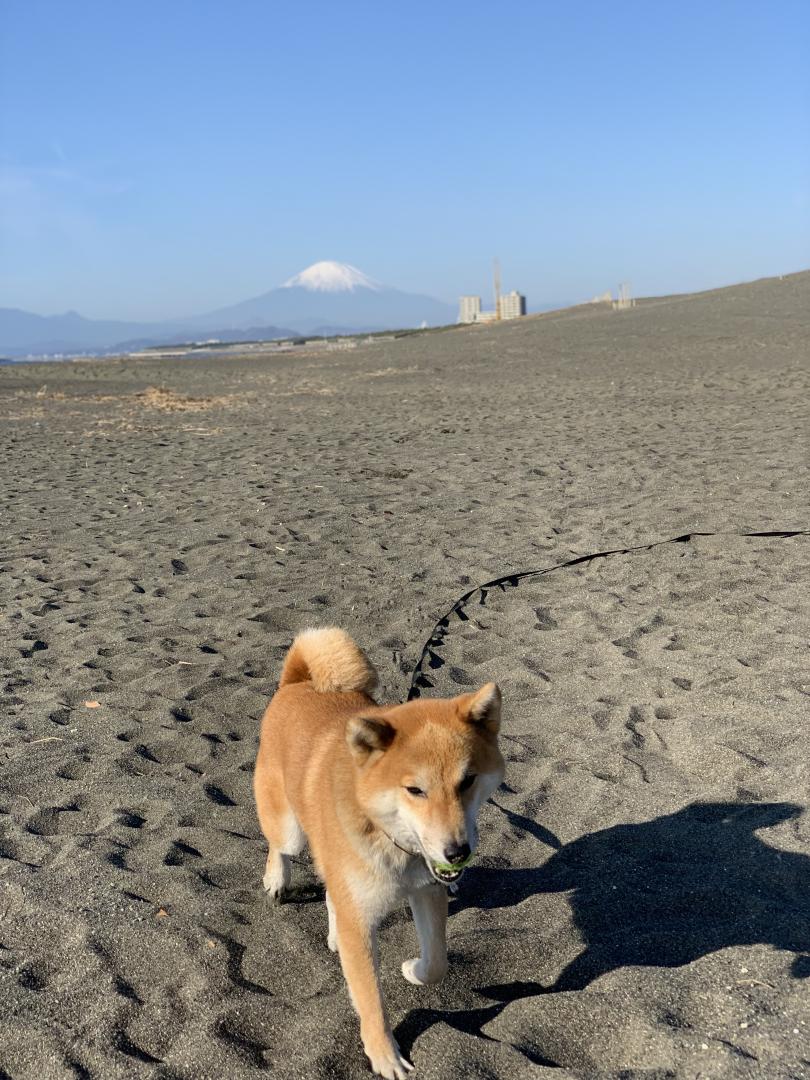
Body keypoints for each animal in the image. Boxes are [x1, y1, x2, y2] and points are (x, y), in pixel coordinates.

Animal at [257, 630, 505, 1075]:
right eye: (415, 790)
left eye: (468, 781)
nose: (457, 852)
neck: (390, 840)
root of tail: (297, 682)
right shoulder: (361, 924)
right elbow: (371, 999)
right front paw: (385, 1054)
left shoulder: (426, 890)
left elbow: (438, 963)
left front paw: (413, 969)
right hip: (291, 830)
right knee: (280, 848)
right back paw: (277, 879)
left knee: (331, 891)